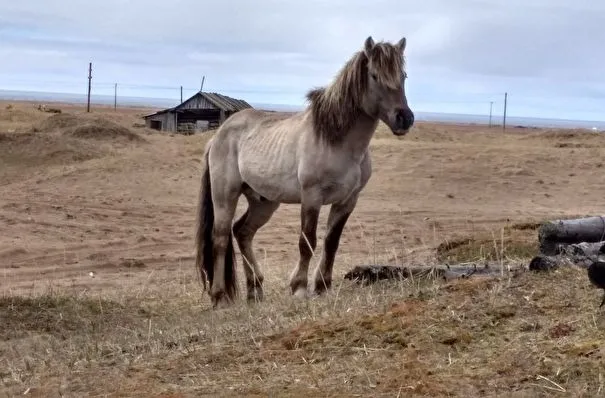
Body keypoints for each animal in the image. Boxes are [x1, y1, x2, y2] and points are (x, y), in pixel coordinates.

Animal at [196, 35, 412, 308]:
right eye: (374, 75)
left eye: (403, 75)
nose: (404, 118)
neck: (337, 140)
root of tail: (218, 135)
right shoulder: (312, 196)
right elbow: (307, 241)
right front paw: (299, 288)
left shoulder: (348, 200)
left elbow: (331, 242)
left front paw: (322, 286)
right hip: (225, 194)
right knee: (221, 238)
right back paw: (219, 297)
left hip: (263, 201)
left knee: (242, 232)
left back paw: (255, 290)